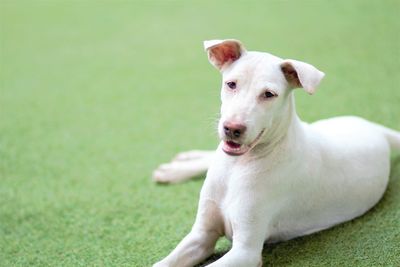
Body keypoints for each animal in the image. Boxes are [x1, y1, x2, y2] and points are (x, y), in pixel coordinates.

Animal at [152, 39, 398, 267]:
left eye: (269, 94)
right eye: (231, 84)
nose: (232, 129)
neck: (238, 166)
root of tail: (377, 130)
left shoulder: (245, 252)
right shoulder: (202, 234)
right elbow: (162, 263)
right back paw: (179, 167)